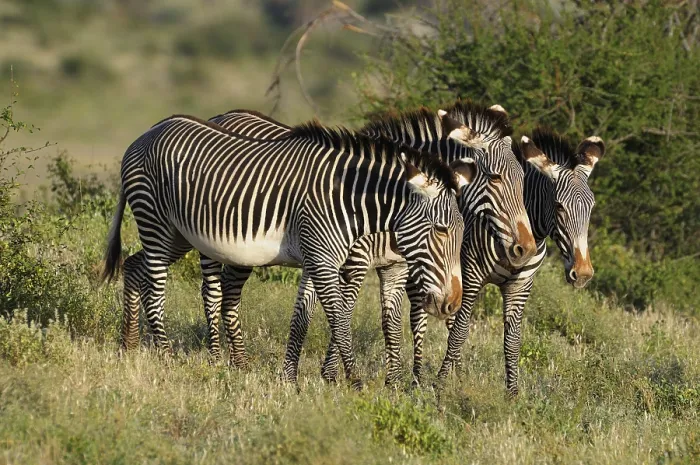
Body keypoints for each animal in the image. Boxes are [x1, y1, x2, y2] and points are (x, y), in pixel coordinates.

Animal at [103, 114, 472, 387]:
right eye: (441, 231)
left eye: (462, 232)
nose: (452, 303)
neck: (351, 198)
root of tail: (149, 131)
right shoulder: (330, 262)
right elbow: (340, 319)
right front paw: (352, 381)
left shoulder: (317, 260)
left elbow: (302, 318)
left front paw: (289, 379)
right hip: (156, 221)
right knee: (156, 289)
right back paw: (166, 356)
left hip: (179, 234)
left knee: (133, 266)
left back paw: (129, 345)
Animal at [430, 127, 606, 396]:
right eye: (559, 206)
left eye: (591, 207)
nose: (583, 273)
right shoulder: (471, 276)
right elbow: (460, 331)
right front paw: (439, 386)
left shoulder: (520, 285)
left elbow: (512, 341)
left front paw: (512, 395)